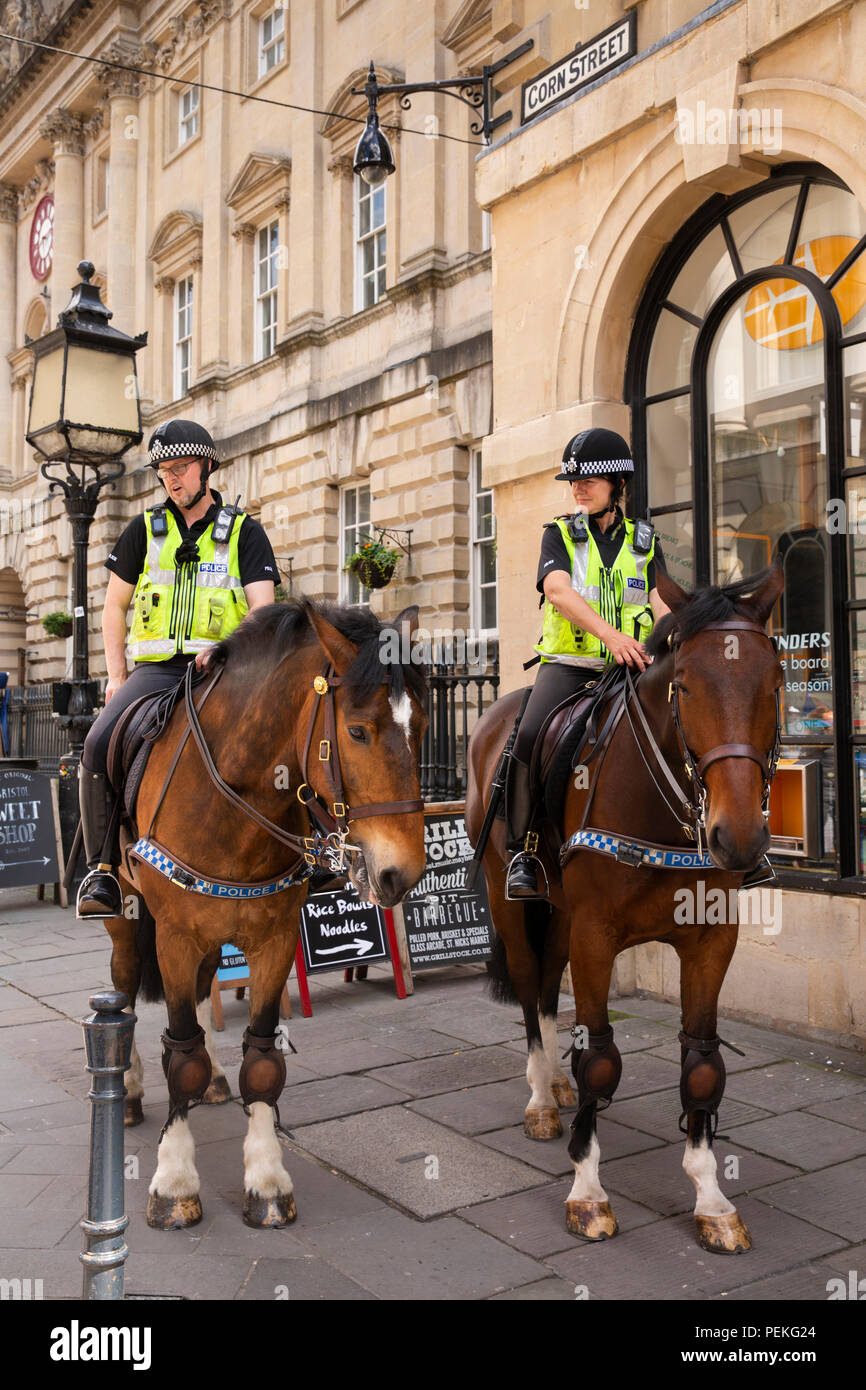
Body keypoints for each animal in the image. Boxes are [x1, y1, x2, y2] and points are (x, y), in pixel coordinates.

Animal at [103, 597, 428, 1228]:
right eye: (357, 730)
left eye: (421, 727)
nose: (401, 873)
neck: (234, 801)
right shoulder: (173, 936)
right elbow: (179, 1055)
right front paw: (174, 1181)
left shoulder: (274, 940)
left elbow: (260, 1058)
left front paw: (266, 1178)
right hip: (125, 916)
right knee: (124, 985)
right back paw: (125, 1088)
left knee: (202, 995)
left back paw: (210, 1080)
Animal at [467, 558, 783, 1256]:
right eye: (684, 687)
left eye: (775, 683)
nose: (738, 837)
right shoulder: (596, 934)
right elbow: (602, 1059)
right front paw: (587, 1192)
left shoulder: (710, 938)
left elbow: (701, 1064)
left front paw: (712, 1199)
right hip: (514, 902)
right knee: (529, 988)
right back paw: (542, 1098)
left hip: (558, 914)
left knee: (549, 989)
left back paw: (557, 1084)